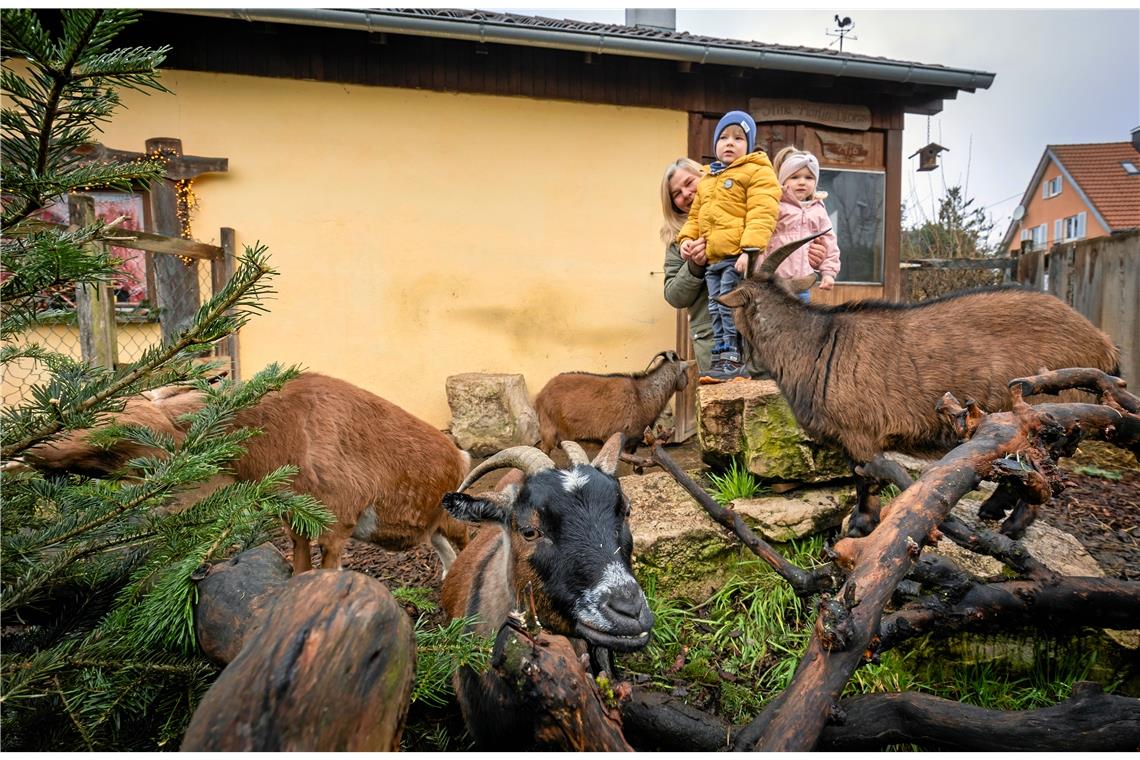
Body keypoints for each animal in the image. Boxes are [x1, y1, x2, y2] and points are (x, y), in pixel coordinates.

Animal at [26, 371, 471, 574]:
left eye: (115, 421)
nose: (33, 450)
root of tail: (461, 456)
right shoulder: (296, 522)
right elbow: (299, 571)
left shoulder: (338, 524)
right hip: (432, 528)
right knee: (446, 556)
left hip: (454, 521)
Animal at [715, 234, 1117, 537]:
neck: (815, 344)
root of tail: (1102, 343)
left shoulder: (859, 435)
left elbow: (864, 480)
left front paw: (860, 526)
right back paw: (992, 510)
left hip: (1051, 410)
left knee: (1043, 472)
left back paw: (1012, 527)